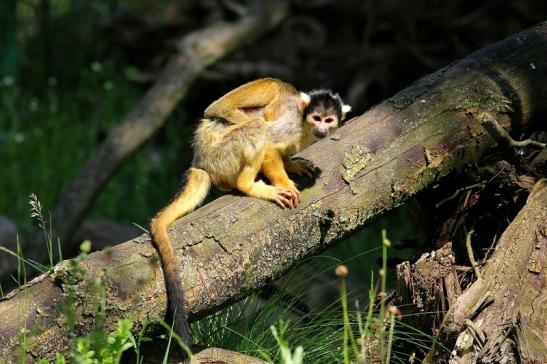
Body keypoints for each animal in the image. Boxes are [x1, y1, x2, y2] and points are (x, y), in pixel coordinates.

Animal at [150, 77, 352, 346]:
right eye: (316, 118)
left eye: (328, 120)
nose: (321, 129)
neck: (304, 126)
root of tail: (202, 163)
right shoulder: (290, 124)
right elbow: (269, 144)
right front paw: (285, 183)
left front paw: (292, 165)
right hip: (223, 155)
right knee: (257, 126)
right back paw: (248, 184)